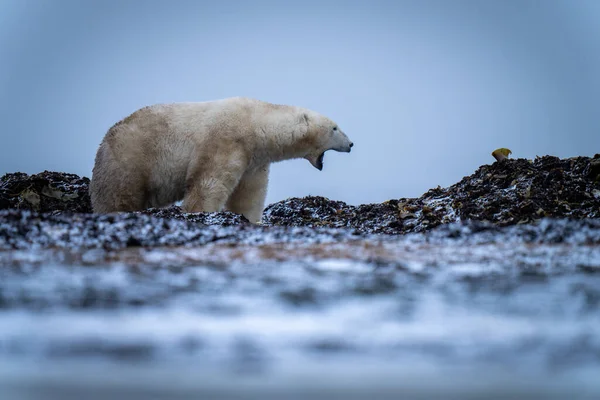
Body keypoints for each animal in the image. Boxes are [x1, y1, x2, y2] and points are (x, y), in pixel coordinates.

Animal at [89, 97, 352, 222]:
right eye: (335, 128)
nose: (351, 144)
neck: (256, 123)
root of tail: (104, 140)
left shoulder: (254, 159)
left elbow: (248, 194)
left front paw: (252, 220)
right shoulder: (225, 139)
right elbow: (208, 183)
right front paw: (200, 213)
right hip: (129, 160)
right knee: (119, 196)